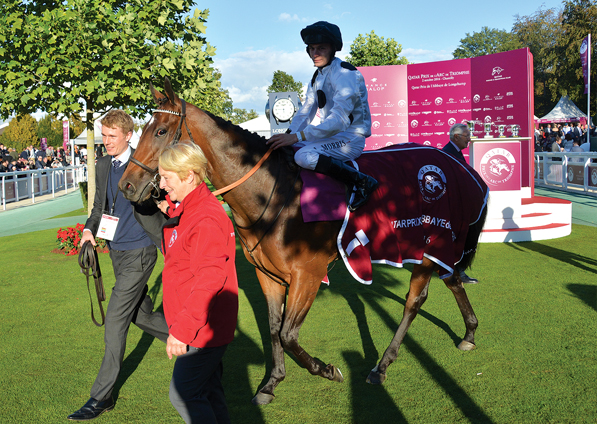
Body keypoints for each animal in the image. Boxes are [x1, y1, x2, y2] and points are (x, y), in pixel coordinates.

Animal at [120, 78, 488, 406]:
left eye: (160, 131)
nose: (126, 185)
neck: (273, 192)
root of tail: (462, 168)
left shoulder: (307, 274)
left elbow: (288, 334)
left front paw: (325, 369)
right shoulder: (267, 275)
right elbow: (273, 328)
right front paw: (271, 383)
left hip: (431, 243)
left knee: (414, 301)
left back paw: (382, 364)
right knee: (452, 279)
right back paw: (470, 333)